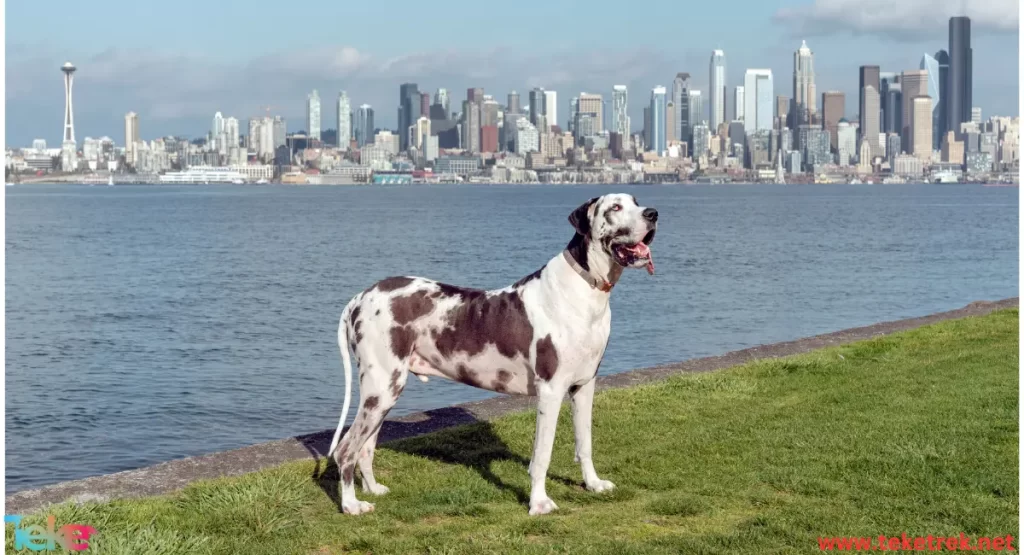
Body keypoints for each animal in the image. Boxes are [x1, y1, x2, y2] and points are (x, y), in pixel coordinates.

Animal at [331, 194, 659, 518]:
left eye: (635, 201)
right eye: (615, 207)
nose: (653, 213)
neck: (585, 290)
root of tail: (360, 297)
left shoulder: (584, 385)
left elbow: (585, 442)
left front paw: (592, 484)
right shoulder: (551, 390)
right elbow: (542, 455)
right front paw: (539, 503)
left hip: (383, 393)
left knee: (365, 447)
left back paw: (373, 489)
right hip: (382, 388)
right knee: (345, 449)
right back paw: (351, 505)